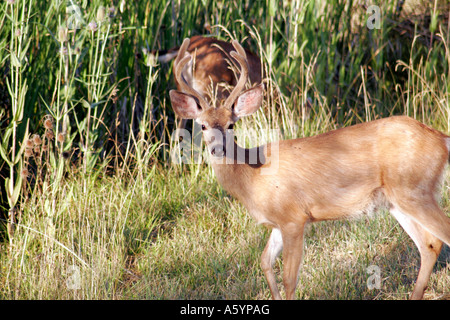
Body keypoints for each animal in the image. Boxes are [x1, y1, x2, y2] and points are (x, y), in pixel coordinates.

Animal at [168, 37, 450, 300]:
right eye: (203, 125)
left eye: (231, 125)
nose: (218, 149)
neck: (253, 177)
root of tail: (440, 138)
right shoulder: (277, 222)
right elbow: (264, 262)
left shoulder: (293, 217)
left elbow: (289, 278)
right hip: (396, 200)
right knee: (429, 244)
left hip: (414, 189)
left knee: (440, 236)